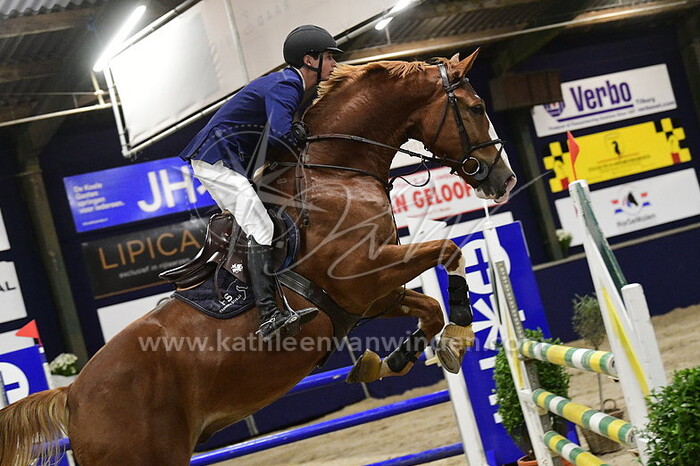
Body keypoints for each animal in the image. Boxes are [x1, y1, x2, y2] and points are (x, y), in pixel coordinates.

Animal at [0, 50, 516, 465]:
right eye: (476, 108)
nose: (504, 180)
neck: (339, 172)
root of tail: (72, 395)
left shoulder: (365, 298)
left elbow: (428, 309)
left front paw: (400, 359)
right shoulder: (363, 274)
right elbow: (449, 249)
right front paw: (463, 333)